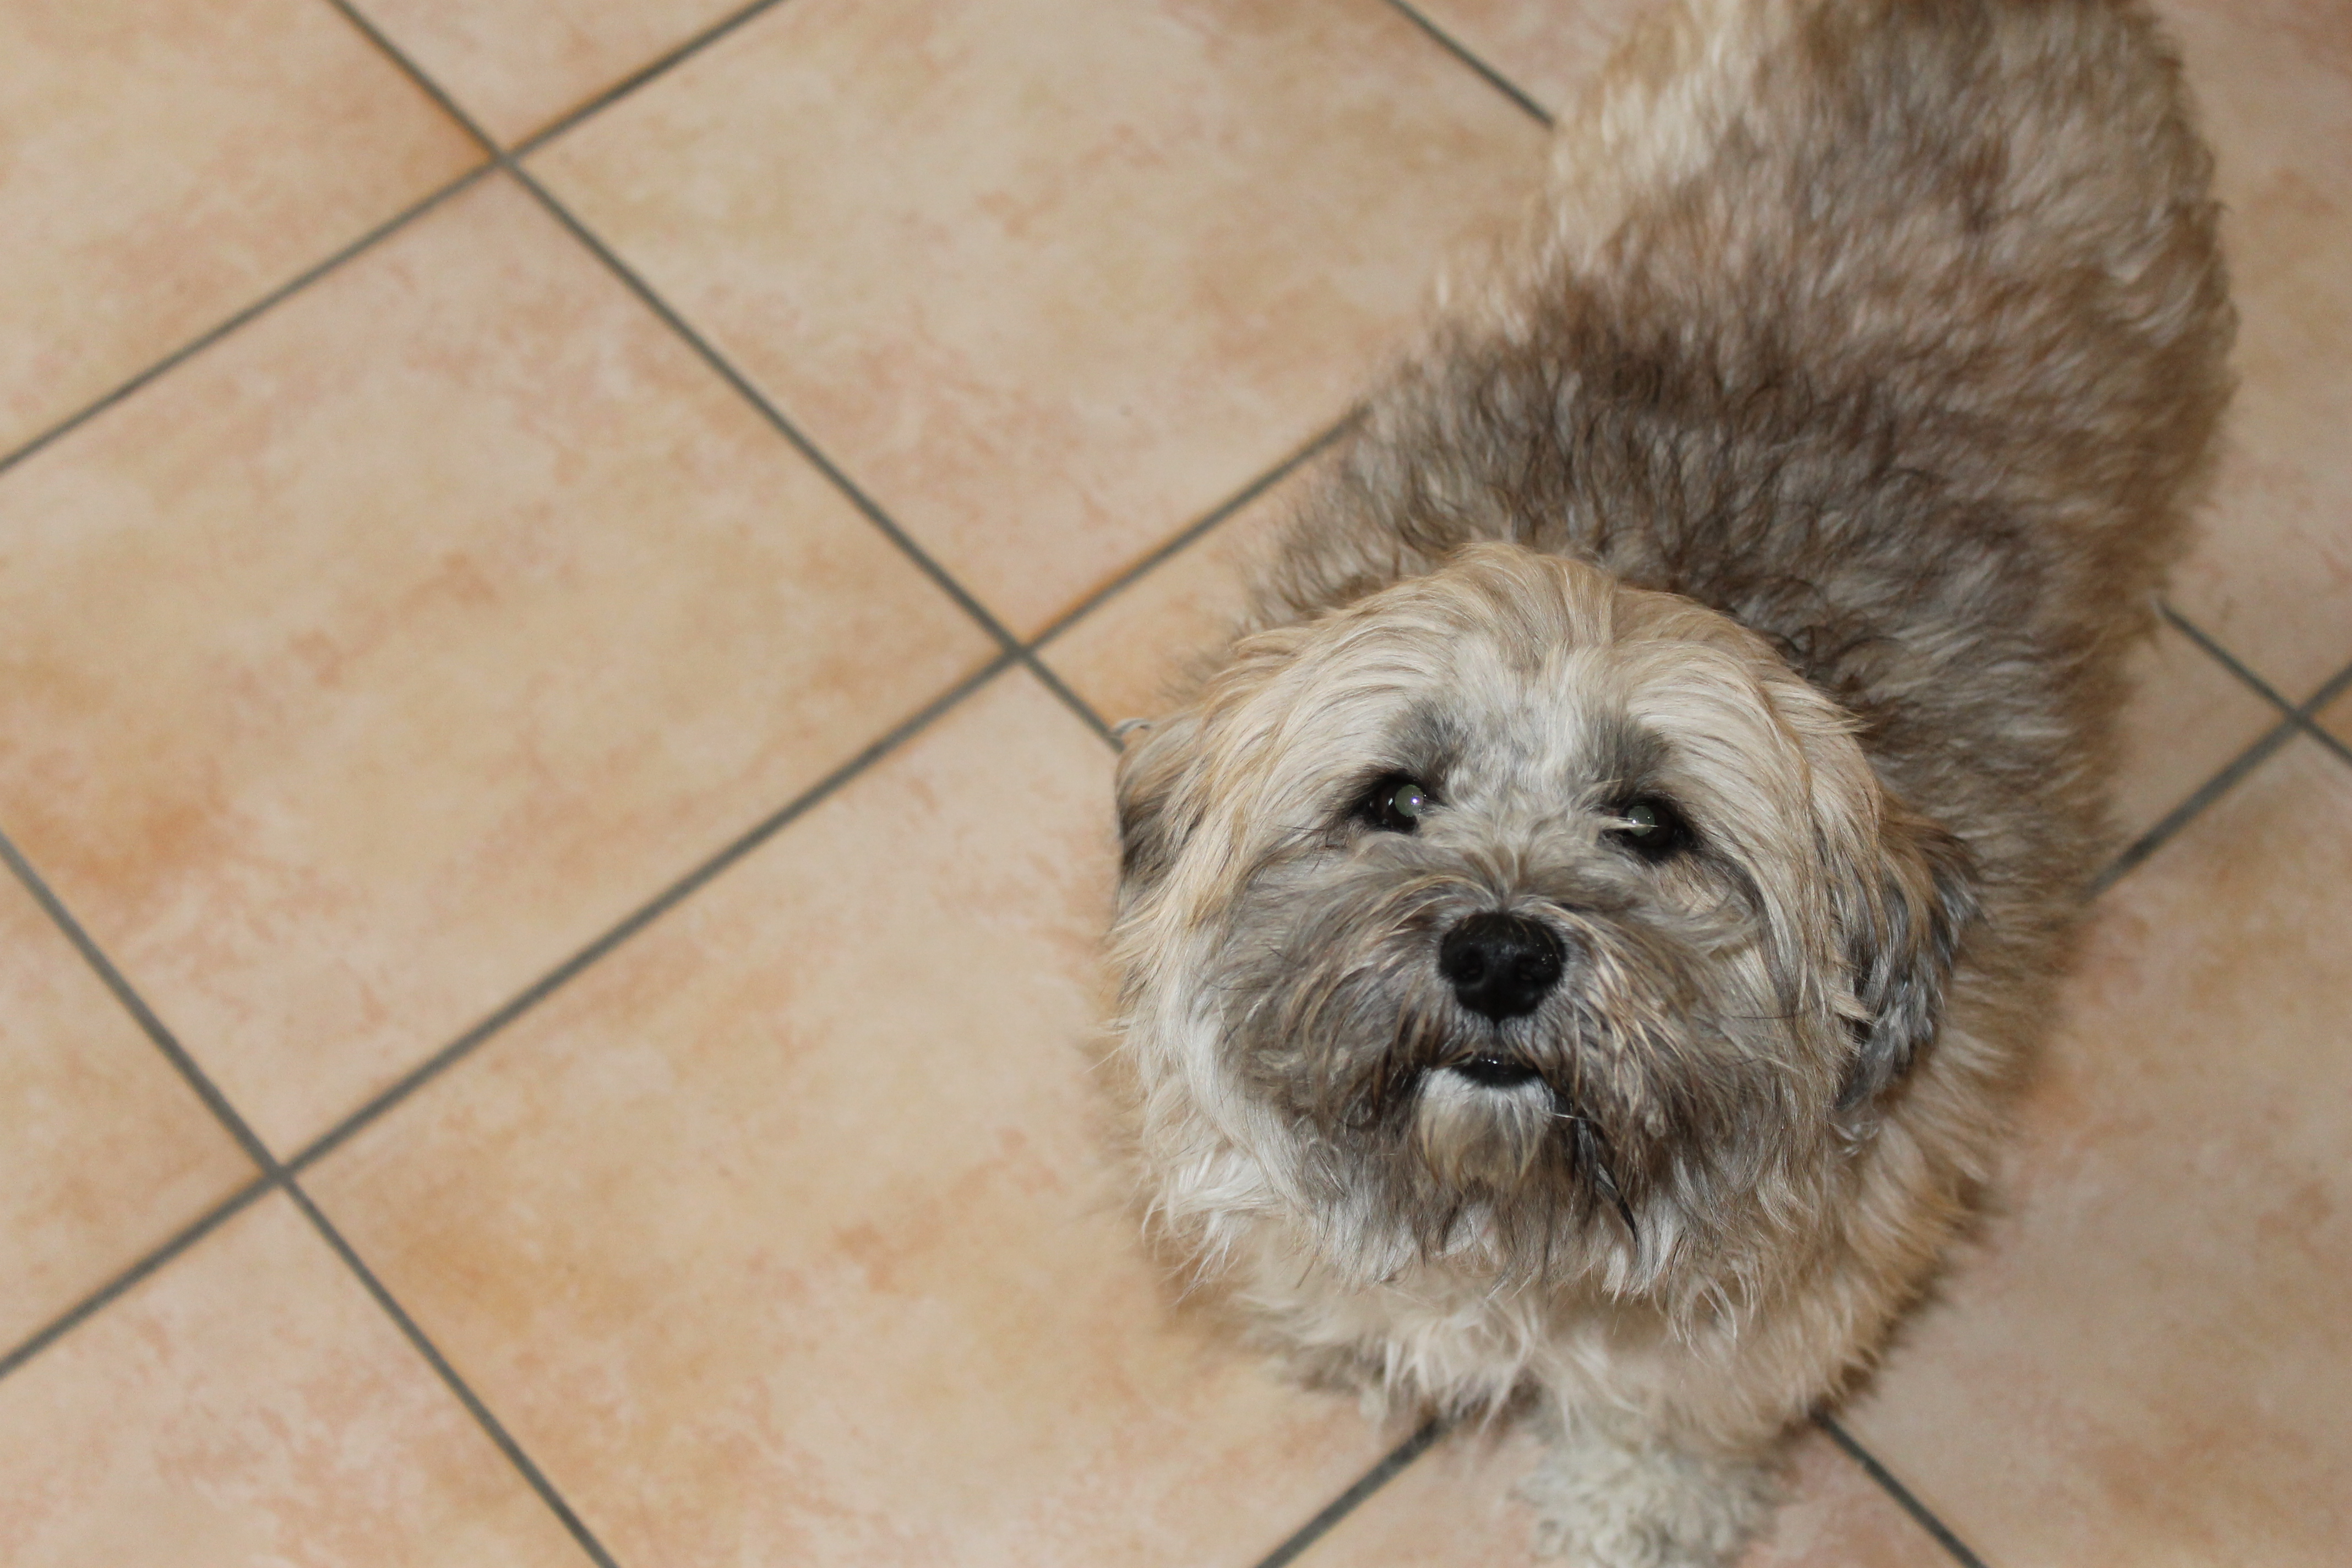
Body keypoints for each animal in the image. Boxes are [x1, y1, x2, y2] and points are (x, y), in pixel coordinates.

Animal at [1104, 1, 2232, 1561]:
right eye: (1394, 796)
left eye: (1654, 826)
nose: (1500, 951)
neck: (1509, 1210)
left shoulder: (1770, 1317)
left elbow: (1671, 1422)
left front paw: (1633, 1507)